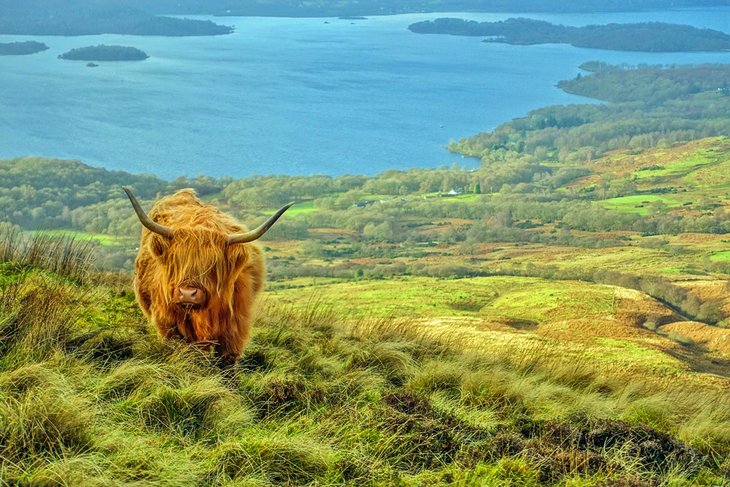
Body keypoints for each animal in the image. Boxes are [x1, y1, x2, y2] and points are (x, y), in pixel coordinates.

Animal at [122, 187, 290, 366]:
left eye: (213, 265)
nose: (187, 294)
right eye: (177, 260)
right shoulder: (169, 323)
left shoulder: (234, 327)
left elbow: (226, 361)